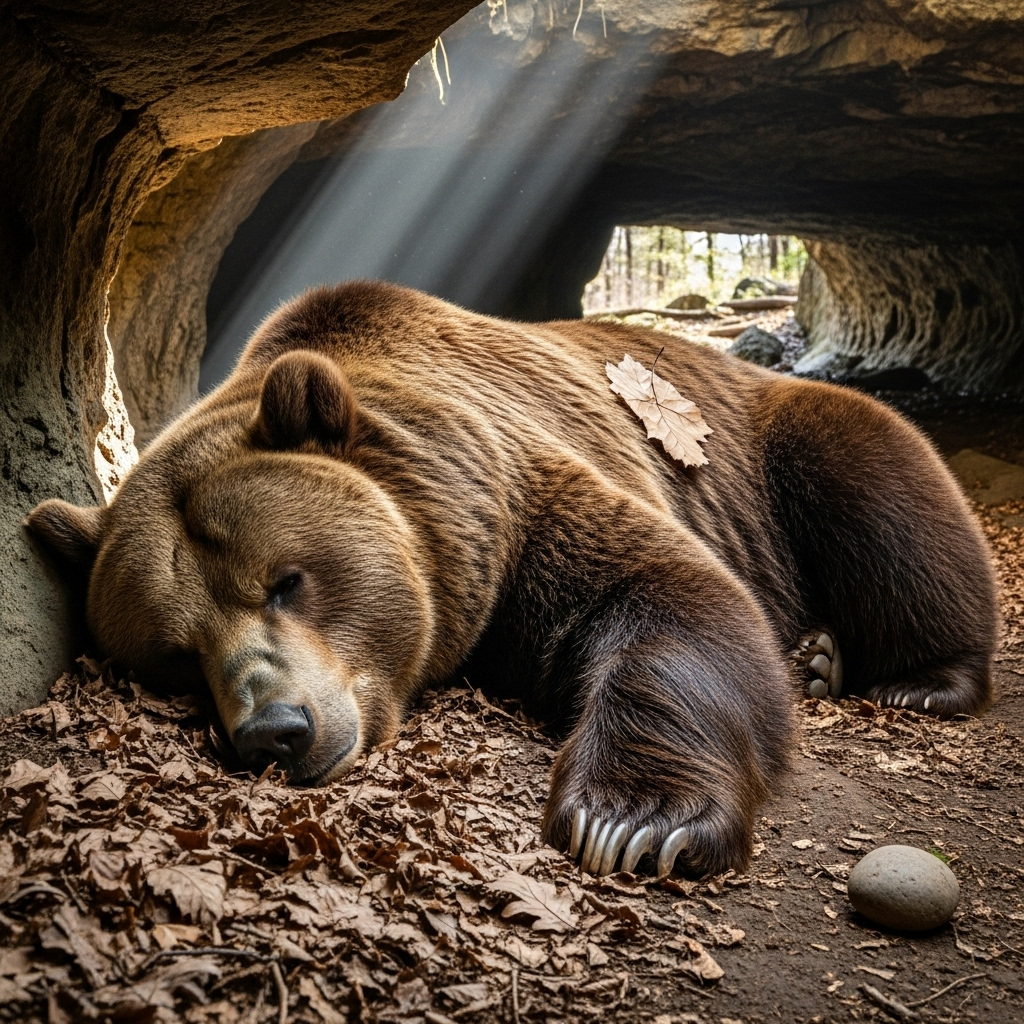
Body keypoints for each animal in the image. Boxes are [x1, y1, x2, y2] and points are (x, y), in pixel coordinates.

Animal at [27, 280, 998, 878]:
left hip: (764, 446)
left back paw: (919, 680)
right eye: (176, 654)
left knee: (881, 494)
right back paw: (824, 659)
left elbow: (665, 593)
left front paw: (632, 821)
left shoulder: (522, 494)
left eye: (284, 580)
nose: (276, 729)